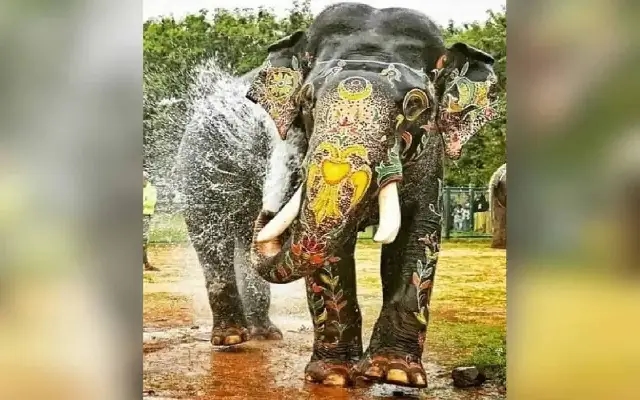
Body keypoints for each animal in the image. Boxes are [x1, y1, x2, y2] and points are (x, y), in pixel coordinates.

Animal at [175, 1, 499, 389]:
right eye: (306, 100)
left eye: (415, 105)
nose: (269, 207)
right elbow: (327, 254)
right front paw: (333, 377)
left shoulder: (430, 151)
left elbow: (419, 233)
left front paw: (395, 373)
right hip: (197, 167)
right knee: (213, 241)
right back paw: (231, 337)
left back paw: (265, 334)